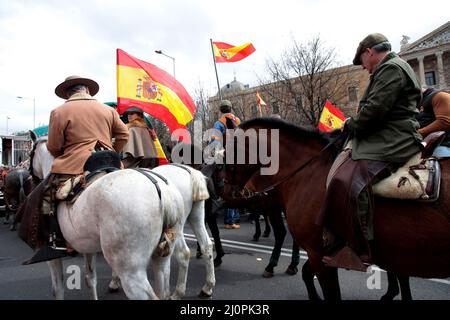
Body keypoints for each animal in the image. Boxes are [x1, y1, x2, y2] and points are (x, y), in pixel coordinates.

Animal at [29, 134, 185, 298]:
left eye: (30, 153)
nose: (30, 179)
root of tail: (161, 190)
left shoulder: (52, 256)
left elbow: (57, 288)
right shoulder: (87, 248)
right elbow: (90, 279)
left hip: (131, 273)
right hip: (162, 260)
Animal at [108, 162, 217, 300]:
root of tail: (190, 172)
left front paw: (114, 281)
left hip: (177, 227)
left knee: (183, 254)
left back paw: (177, 293)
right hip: (196, 217)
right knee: (206, 246)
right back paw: (207, 288)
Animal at [221, 117, 450, 300]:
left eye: (227, 153)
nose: (225, 192)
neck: (307, 172)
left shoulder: (318, 252)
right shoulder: (322, 252)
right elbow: (306, 273)